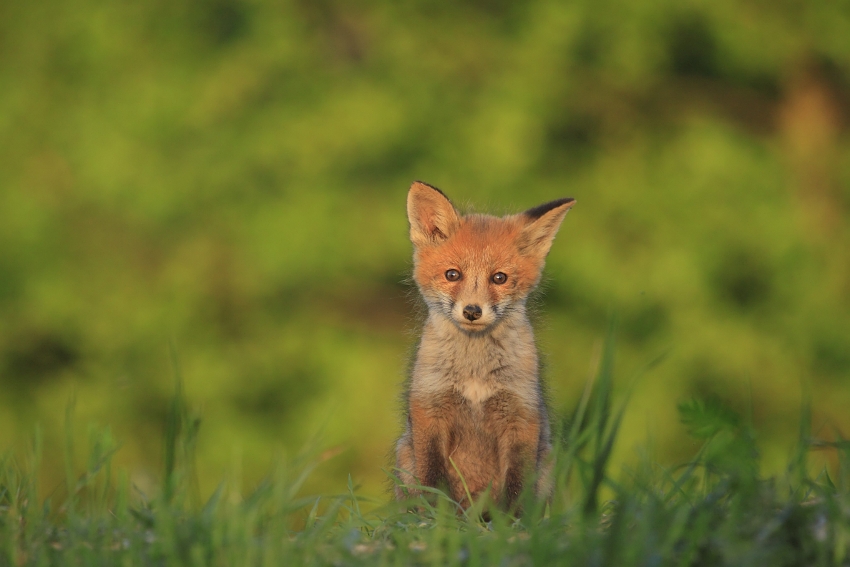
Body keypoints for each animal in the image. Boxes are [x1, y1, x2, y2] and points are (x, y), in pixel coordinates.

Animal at [394, 181, 572, 510]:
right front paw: (435, 516)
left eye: (499, 278)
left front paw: (513, 520)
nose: (472, 311)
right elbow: (432, 479)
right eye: (452, 274)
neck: (474, 371)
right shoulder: (430, 409)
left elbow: (517, 486)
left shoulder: (520, 416)